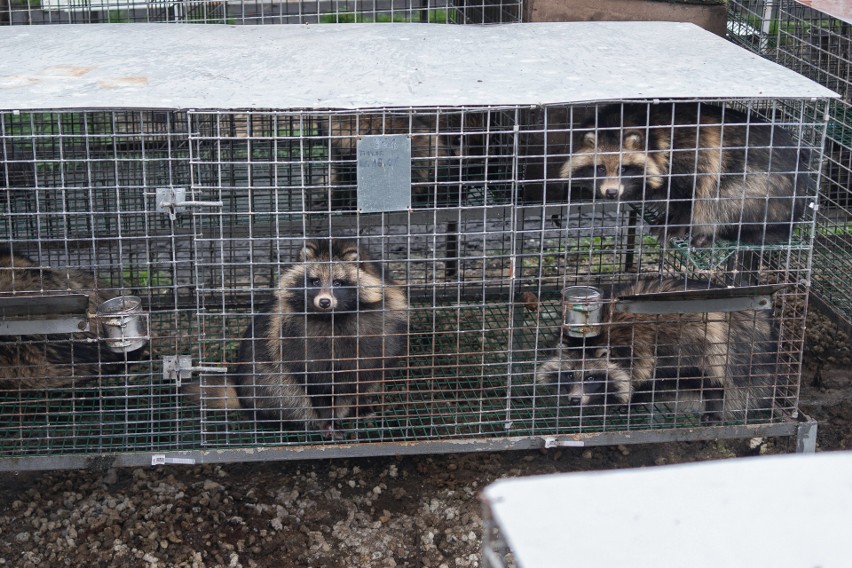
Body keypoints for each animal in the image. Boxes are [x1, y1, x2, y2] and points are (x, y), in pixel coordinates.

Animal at [231, 237, 408, 432]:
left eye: (337, 282)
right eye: (315, 281)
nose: (324, 301)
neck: (333, 317)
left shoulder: (381, 330)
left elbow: (367, 371)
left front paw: (359, 402)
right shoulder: (295, 340)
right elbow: (315, 382)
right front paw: (327, 419)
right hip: (264, 384)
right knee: (281, 392)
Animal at [536, 280, 784, 422]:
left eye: (590, 377)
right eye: (569, 375)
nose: (574, 400)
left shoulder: (651, 352)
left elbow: (649, 380)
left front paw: (629, 400)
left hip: (710, 347)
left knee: (709, 379)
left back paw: (714, 405)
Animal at [560, 104, 812, 246]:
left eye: (623, 168)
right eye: (600, 168)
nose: (611, 192)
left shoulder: (689, 152)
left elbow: (693, 192)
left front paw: (677, 223)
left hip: (762, 187)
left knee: (727, 199)